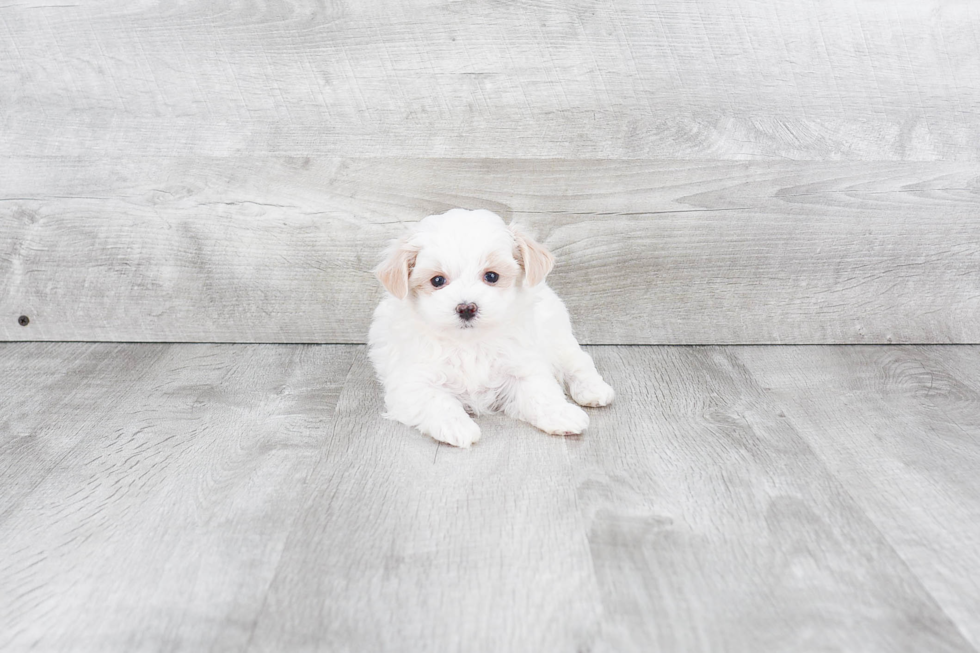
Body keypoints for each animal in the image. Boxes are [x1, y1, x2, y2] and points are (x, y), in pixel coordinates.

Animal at [368, 209, 612, 448]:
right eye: (437, 280)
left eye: (492, 276)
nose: (466, 308)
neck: (468, 343)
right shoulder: (412, 381)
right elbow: (436, 400)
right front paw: (457, 427)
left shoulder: (522, 366)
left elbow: (540, 392)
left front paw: (562, 414)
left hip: (558, 336)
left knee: (577, 362)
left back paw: (594, 390)